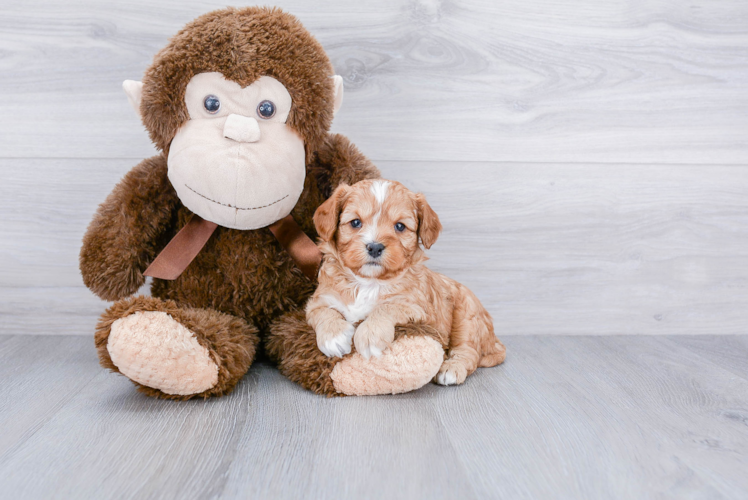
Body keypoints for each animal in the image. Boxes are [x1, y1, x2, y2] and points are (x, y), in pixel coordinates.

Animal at [306, 180, 508, 386]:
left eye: (400, 226)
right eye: (355, 222)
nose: (375, 247)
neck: (368, 282)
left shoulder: (417, 308)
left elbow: (387, 306)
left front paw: (370, 335)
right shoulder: (318, 300)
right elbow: (323, 312)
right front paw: (334, 337)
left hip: (468, 317)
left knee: (468, 352)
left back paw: (451, 368)